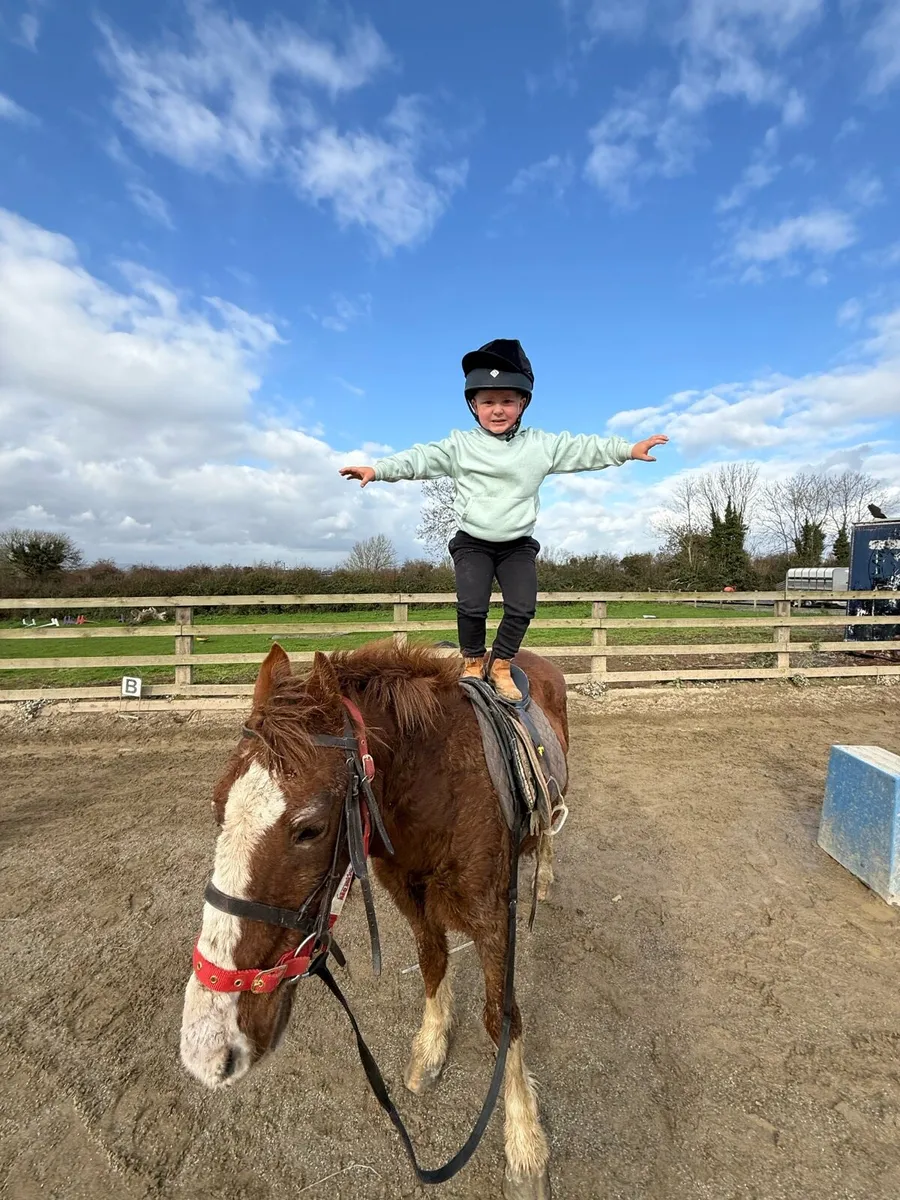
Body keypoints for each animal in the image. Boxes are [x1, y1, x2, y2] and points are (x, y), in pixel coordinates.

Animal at [180, 641, 569, 1200]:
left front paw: (525, 1143)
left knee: (549, 833)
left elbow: (502, 1017)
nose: (206, 1047)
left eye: (310, 829)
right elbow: (433, 968)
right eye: (218, 806)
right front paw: (430, 1051)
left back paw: (544, 876)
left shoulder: (496, 917)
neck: (441, 788)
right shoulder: (411, 902)